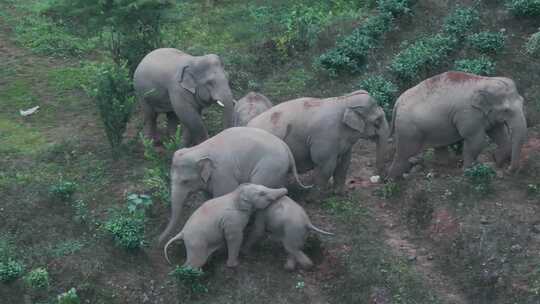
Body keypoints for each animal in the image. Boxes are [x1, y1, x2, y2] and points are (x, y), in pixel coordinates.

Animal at [158, 127, 308, 246]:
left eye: (185, 181)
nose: (158, 242)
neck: (199, 149)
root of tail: (287, 148)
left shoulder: (223, 174)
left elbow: (223, 194)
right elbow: (208, 197)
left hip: (269, 169)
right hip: (277, 172)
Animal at [247, 90, 390, 194]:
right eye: (377, 121)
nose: (383, 180)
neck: (343, 100)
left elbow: (344, 163)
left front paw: (339, 193)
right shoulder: (325, 137)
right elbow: (326, 166)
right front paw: (314, 199)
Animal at [388, 70, 528, 178]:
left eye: (522, 101)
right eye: (506, 110)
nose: (509, 170)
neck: (484, 80)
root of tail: (397, 102)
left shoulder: (486, 115)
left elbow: (498, 134)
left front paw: (496, 160)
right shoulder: (468, 114)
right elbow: (476, 141)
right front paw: (467, 171)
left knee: (439, 145)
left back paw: (442, 166)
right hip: (408, 129)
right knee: (404, 153)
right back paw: (393, 178)